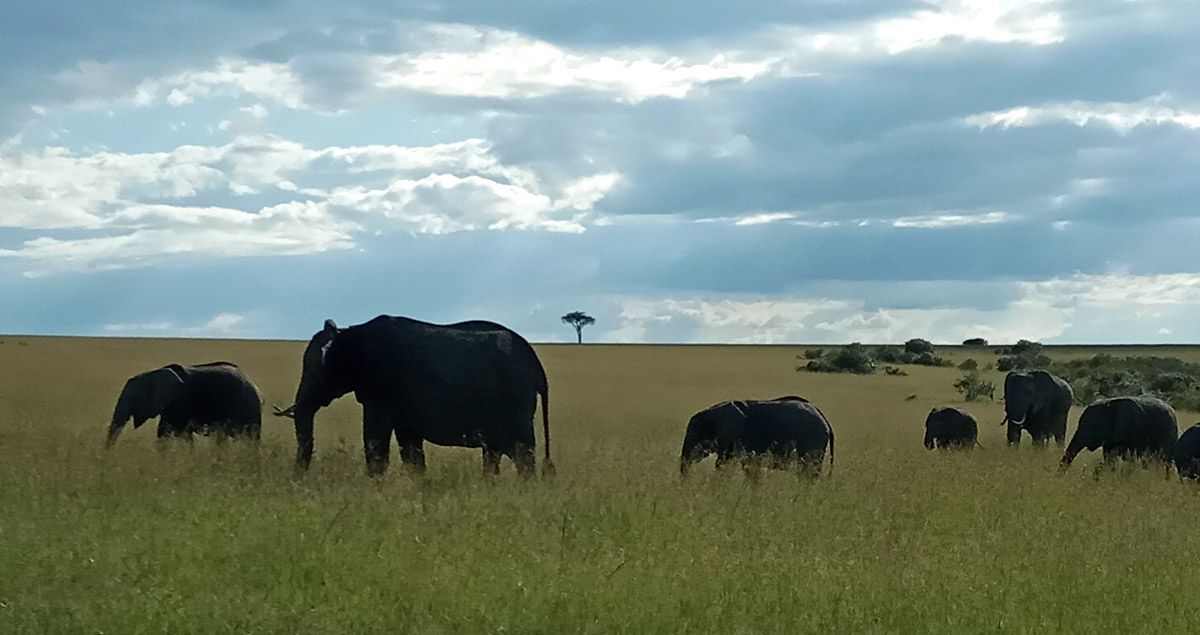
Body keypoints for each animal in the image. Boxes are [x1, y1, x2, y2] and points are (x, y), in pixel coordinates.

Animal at [106, 362, 262, 446]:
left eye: (132, 400)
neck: (152, 374)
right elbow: (163, 432)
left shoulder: (181, 401)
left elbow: (182, 433)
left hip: (248, 407)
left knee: (252, 439)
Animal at [274, 316, 549, 475]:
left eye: (315, 369)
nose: (298, 477)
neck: (349, 334)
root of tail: (537, 366)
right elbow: (410, 450)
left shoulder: (382, 386)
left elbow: (375, 440)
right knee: (494, 454)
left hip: (514, 401)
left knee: (522, 454)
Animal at [676, 393, 835, 477]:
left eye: (696, 435)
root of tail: (825, 420)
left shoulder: (734, 439)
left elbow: (722, 464)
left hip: (813, 441)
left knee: (809, 471)